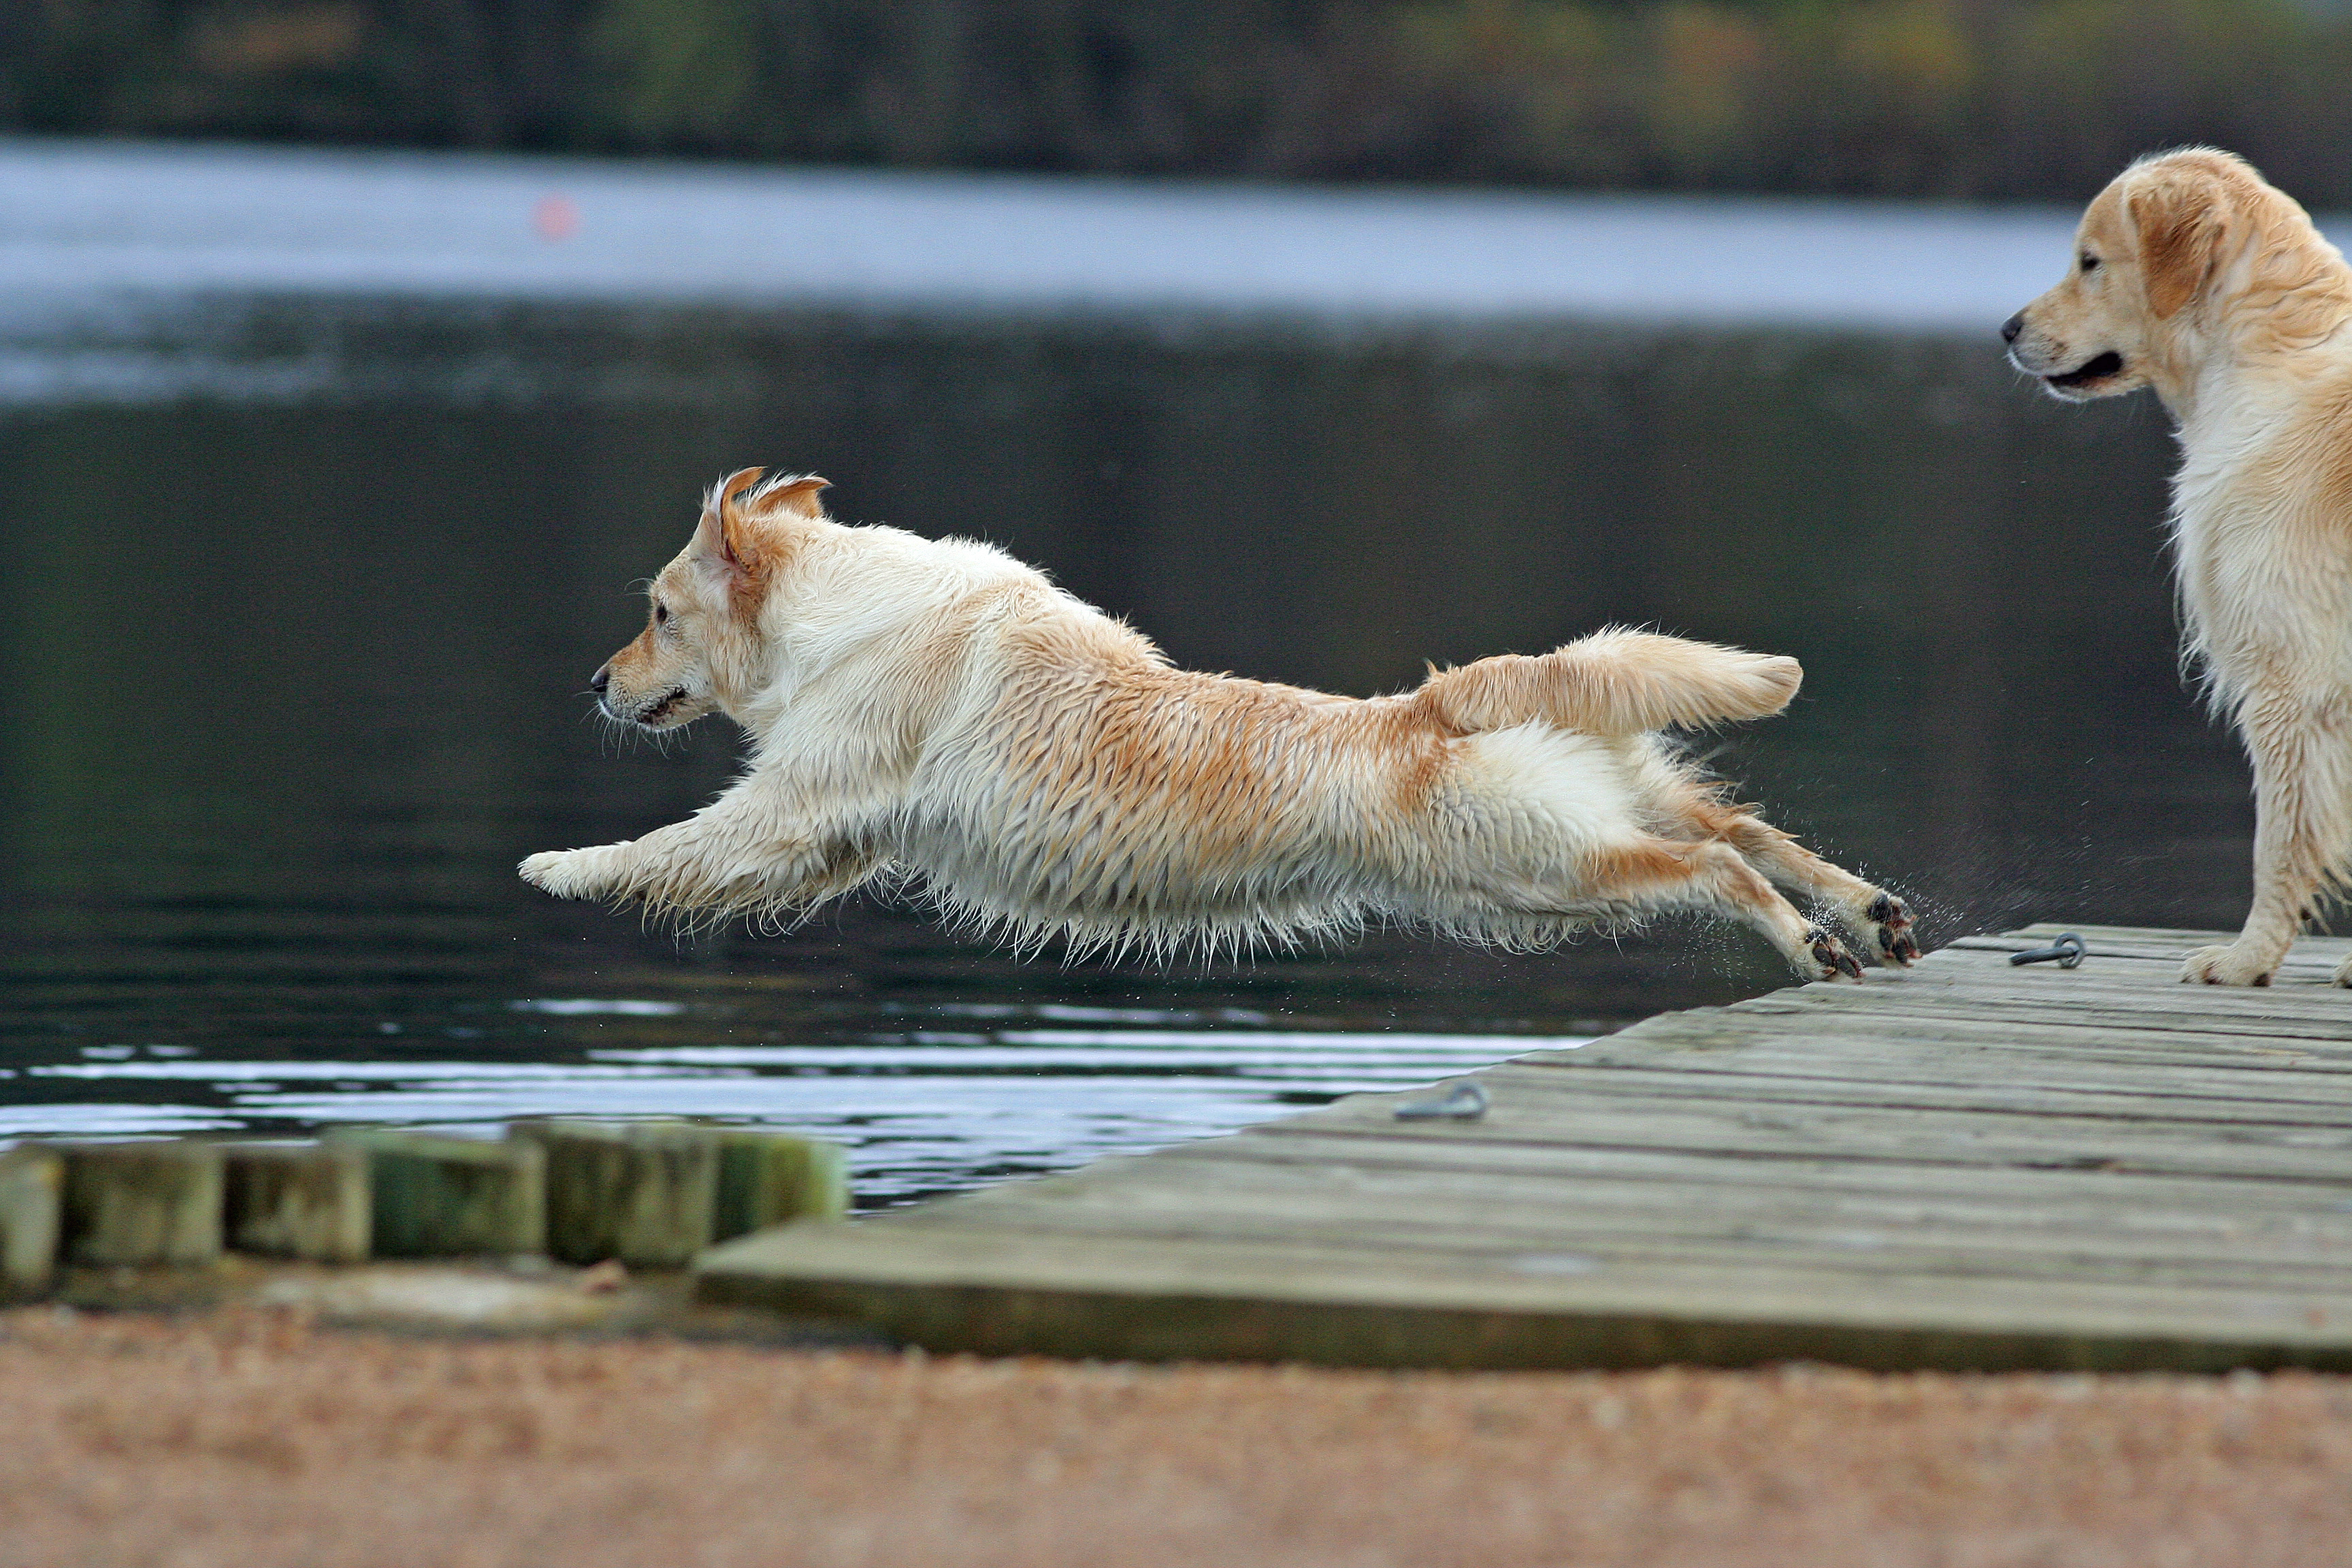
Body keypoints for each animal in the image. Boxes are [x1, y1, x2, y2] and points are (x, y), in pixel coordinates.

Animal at [524, 470, 1919, 982]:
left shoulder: (792, 810)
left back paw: (1814, 942)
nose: (592, 681)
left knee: (1715, 865)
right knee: (1742, 826)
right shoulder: (828, 841)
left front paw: (558, 866)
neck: (844, 613)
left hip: (1537, 869)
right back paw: (1869, 912)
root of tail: (1440, 700)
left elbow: (674, 846)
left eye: (657, 612)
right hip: (1597, 816)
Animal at [2013, 146, 2352, 982]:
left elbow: (2277, 843)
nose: (2007, 329)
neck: (2270, 357)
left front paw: (2245, 959)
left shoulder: (2289, 681)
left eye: (2090, 261)